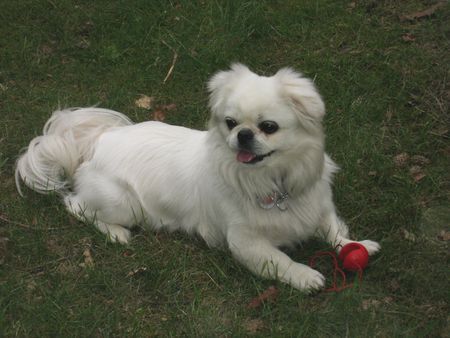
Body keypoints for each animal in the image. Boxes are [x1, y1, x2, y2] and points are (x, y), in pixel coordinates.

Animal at [14, 64, 380, 292]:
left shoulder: (318, 206)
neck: (275, 182)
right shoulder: (245, 242)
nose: (243, 135)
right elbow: (280, 260)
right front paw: (306, 277)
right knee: (75, 205)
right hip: (124, 204)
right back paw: (116, 234)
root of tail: (97, 139)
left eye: (268, 127)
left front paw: (357, 246)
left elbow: (335, 230)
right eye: (230, 123)